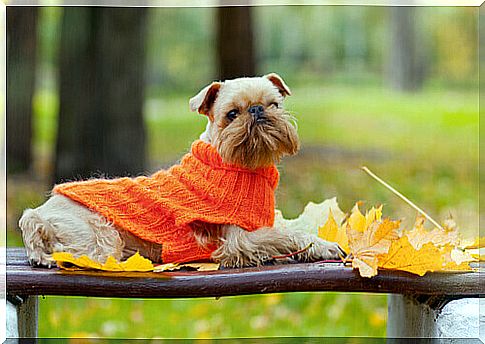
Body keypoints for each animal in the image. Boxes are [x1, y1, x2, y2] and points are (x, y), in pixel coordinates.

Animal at [18, 74, 342, 268]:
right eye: (232, 114)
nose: (257, 110)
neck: (239, 166)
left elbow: (288, 226)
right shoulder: (240, 239)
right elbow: (287, 234)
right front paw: (323, 246)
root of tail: (38, 213)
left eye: (274, 104)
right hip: (101, 239)